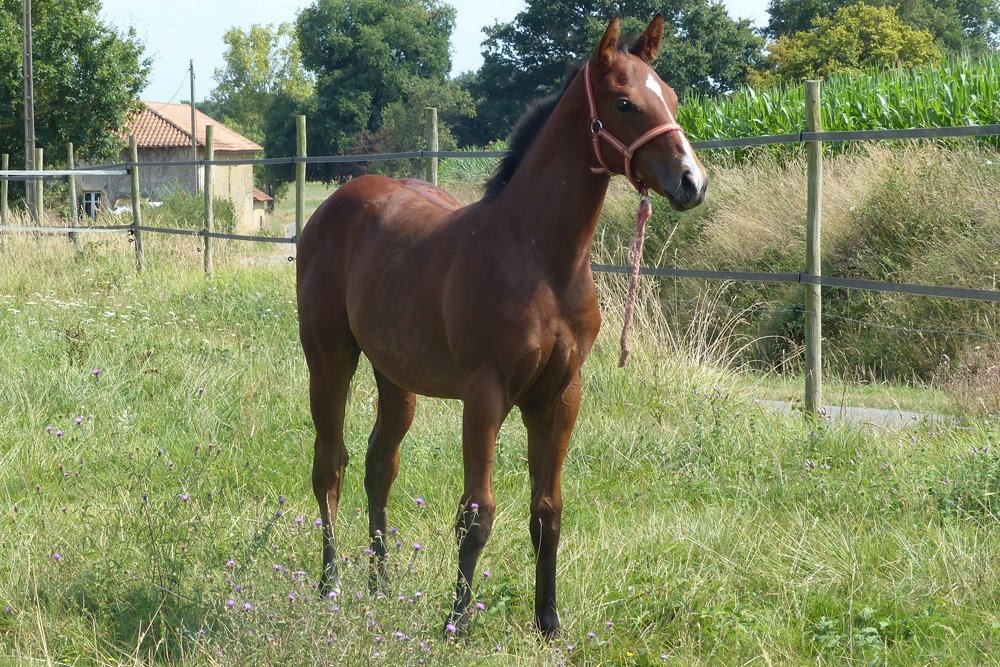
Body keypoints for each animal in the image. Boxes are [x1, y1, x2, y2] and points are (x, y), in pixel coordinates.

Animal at [296, 15, 708, 637]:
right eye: (624, 102)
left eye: (674, 98)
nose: (692, 181)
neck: (542, 260)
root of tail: (334, 203)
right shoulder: (485, 392)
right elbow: (477, 512)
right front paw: (457, 624)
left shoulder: (560, 394)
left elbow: (548, 512)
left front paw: (549, 622)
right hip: (329, 360)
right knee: (330, 466)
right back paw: (332, 586)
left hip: (396, 376)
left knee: (379, 465)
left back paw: (379, 585)